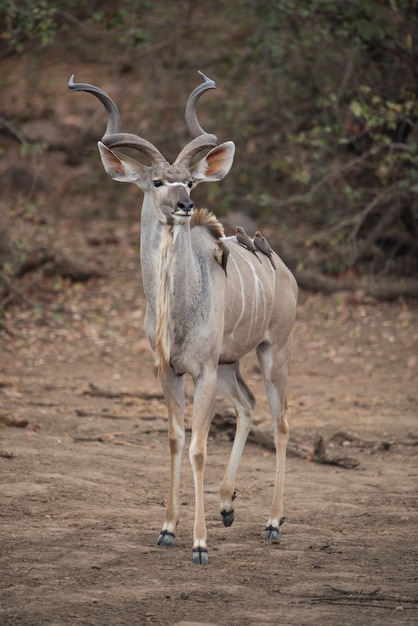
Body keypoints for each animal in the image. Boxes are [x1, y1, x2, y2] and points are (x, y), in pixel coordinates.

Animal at [68, 70, 298, 564]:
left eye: (190, 183)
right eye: (157, 182)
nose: (184, 206)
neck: (174, 310)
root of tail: (285, 270)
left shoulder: (203, 371)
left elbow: (197, 447)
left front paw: (199, 543)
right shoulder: (170, 371)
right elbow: (175, 439)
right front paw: (168, 529)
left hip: (274, 350)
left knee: (281, 420)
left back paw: (273, 522)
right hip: (230, 365)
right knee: (248, 405)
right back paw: (227, 505)